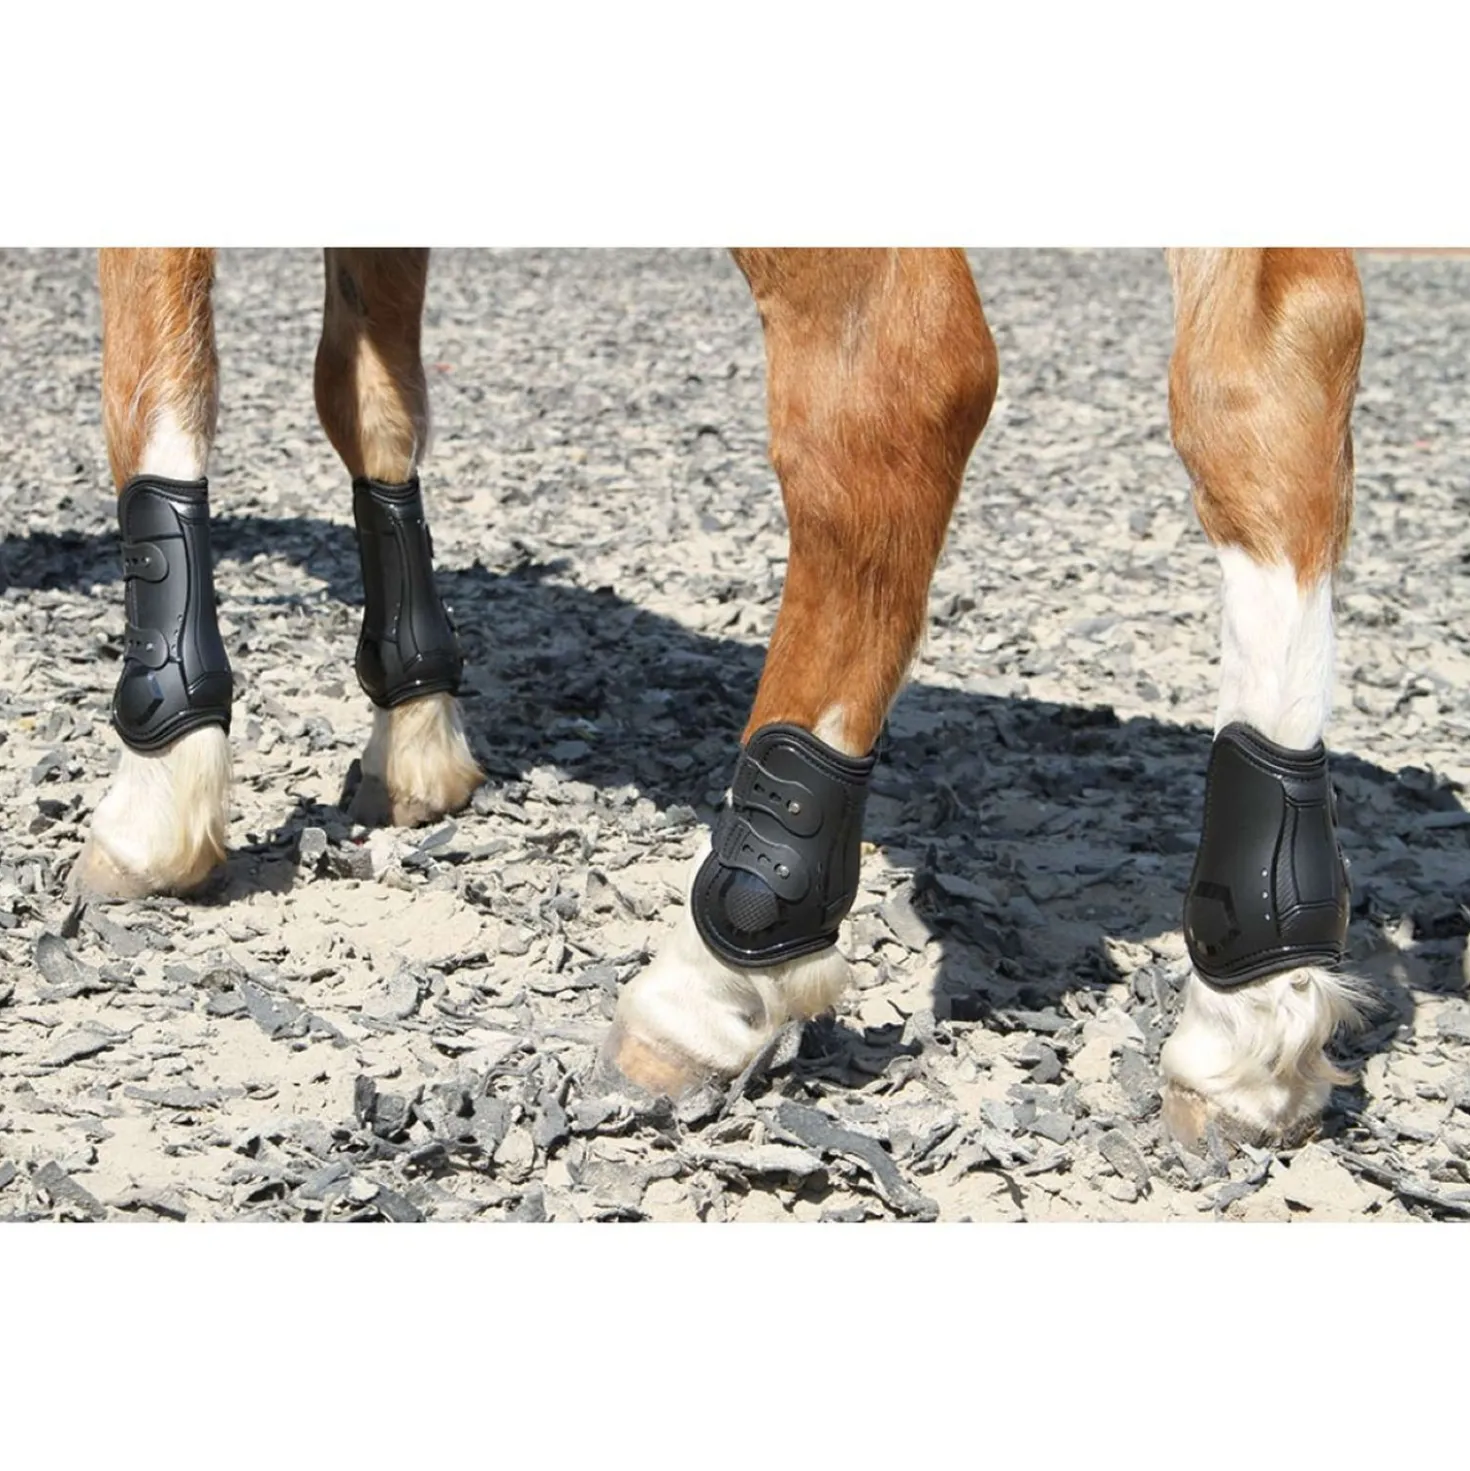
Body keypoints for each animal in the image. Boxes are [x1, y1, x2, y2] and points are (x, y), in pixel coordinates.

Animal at [78, 246, 1369, 1151]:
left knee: (889, 379)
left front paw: (159, 791)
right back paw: (1256, 1012)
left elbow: (155, 377)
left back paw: (711, 980)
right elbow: (368, 386)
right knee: (1274, 359)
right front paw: (417, 729)